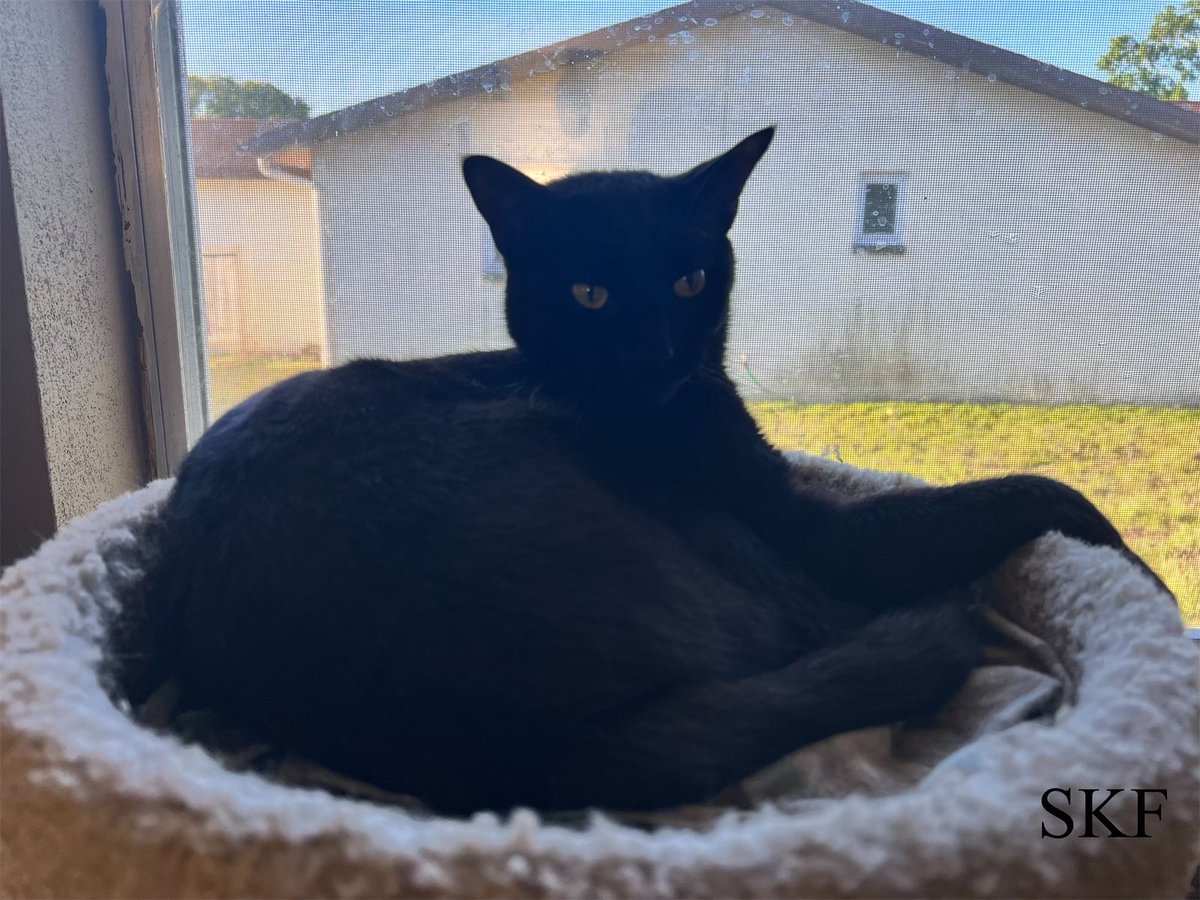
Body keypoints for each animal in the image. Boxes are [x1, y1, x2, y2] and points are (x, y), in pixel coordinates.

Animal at [140, 128, 1161, 816]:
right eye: (589, 291)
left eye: (689, 281)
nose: (658, 353)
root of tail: (510, 755)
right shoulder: (809, 531)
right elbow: (1033, 491)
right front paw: (1143, 576)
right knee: (822, 625)